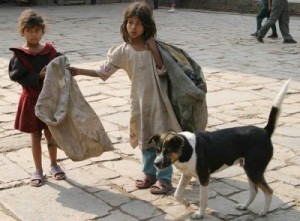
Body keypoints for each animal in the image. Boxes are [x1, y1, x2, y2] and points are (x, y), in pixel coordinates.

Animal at [150, 79, 290, 219]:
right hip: (249, 169)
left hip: (254, 170)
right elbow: (177, 194)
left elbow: (202, 199)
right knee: (254, 191)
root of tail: (265, 131)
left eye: (168, 151)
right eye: (157, 150)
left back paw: (264, 212)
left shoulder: (204, 178)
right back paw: (244, 206)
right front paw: (186, 203)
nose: (155, 163)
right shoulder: (187, 174)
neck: (187, 150)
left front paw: (200, 214)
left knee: (269, 191)